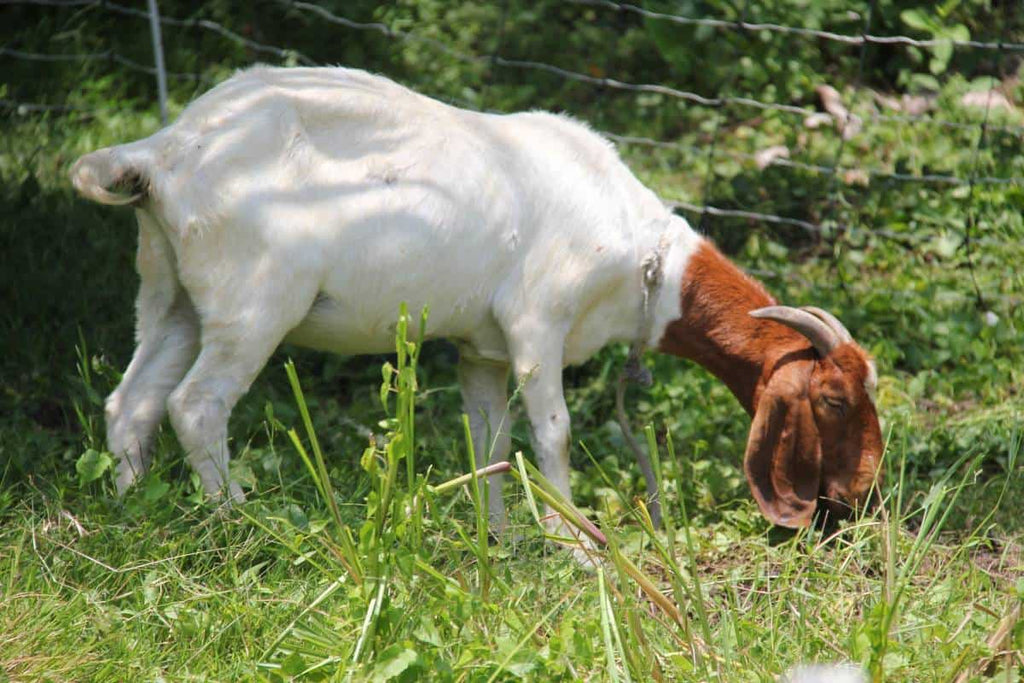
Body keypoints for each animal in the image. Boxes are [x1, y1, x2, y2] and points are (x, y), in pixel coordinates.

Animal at [72, 65, 884, 532]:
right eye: (833, 399)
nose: (863, 492)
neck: (641, 255)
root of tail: (164, 151)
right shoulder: (536, 327)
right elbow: (552, 434)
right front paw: (576, 541)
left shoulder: (481, 351)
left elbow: (488, 443)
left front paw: (500, 538)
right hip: (255, 304)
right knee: (195, 404)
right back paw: (239, 521)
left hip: (171, 292)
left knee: (132, 401)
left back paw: (132, 511)